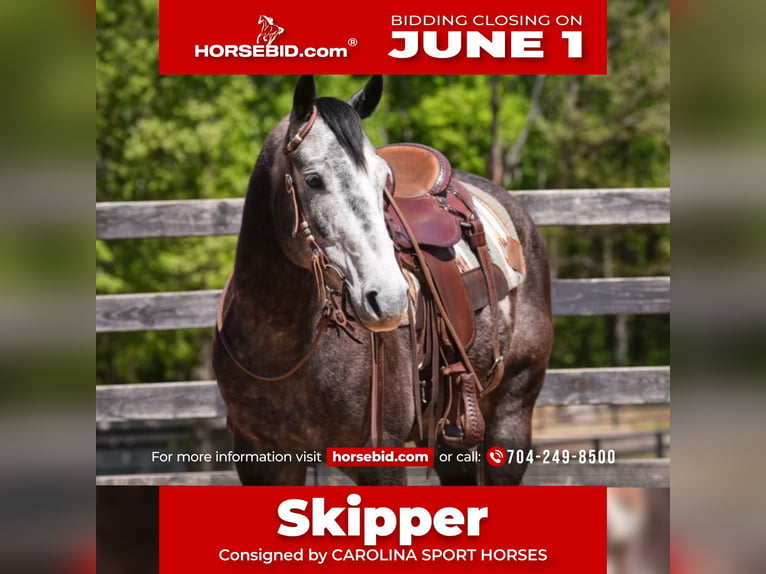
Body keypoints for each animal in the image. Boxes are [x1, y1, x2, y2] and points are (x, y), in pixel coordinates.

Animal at [212, 75, 553, 486]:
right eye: (313, 179)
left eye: (384, 182)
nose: (389, 298)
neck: (282, 343)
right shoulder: (259, 455)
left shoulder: (381, 455)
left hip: (512, 413)